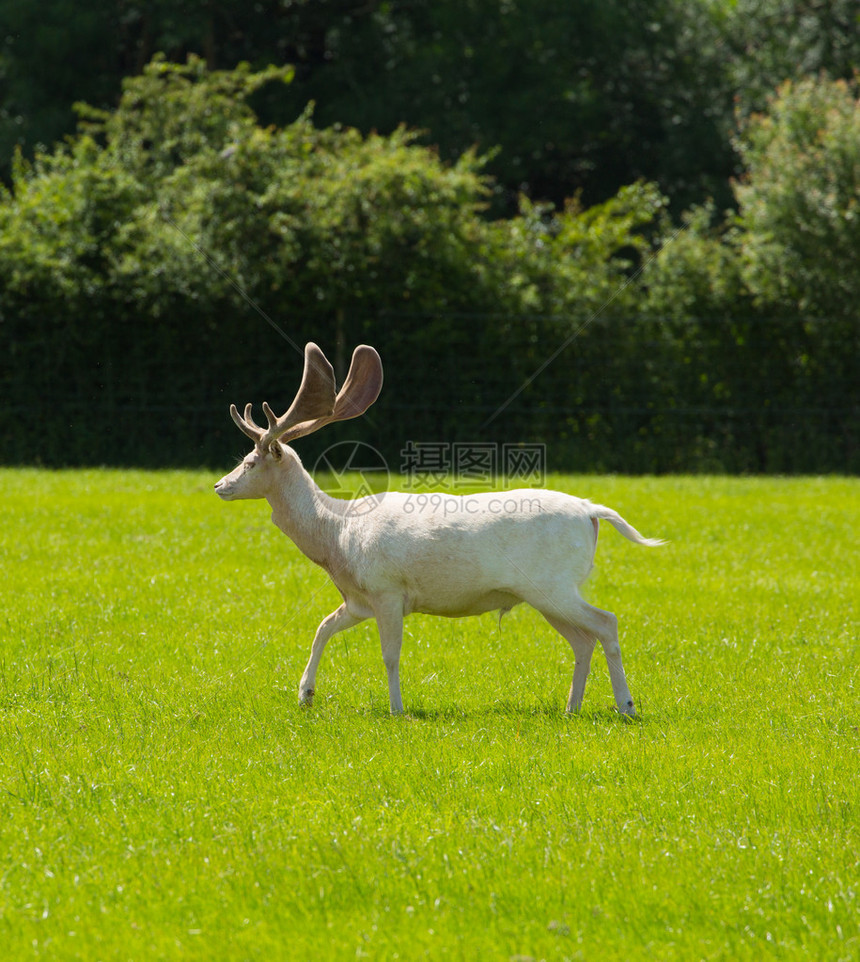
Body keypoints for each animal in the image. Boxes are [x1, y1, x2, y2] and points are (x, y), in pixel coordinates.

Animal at [217, 344, 664, 712]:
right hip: (545, 593)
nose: (221, 485)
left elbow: (389, 654)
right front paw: (305, 695)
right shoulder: (359, 598)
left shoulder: (386, 588)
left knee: (606, 622)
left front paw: (397, 709)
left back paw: (626, 706)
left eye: (250, 462)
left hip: (553, 583)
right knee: (582, 639)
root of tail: (591, 511)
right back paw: (571, 707)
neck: (338, 538)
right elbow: (323, 626)